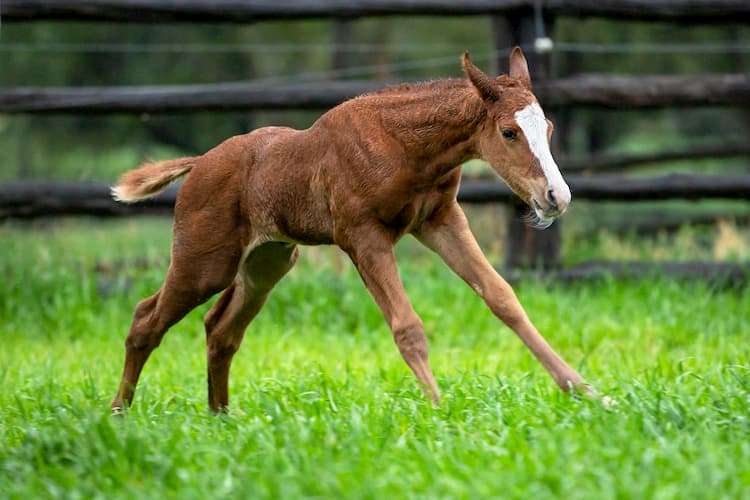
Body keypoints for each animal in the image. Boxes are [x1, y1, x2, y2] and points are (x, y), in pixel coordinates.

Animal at [111, 47, 593, 414]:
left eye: (548, 128)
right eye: (509, 132)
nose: (556, 196)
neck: (405, 146)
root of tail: (198, 165)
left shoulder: (440, 220)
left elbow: (504, 298)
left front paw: (583, 389)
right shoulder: (363, 237)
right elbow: (407, 326)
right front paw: (440, 411)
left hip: (266, 262)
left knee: (221, 329)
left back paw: (221, 415)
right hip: (205, 262)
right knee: (146, 319)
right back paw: (120, 413)